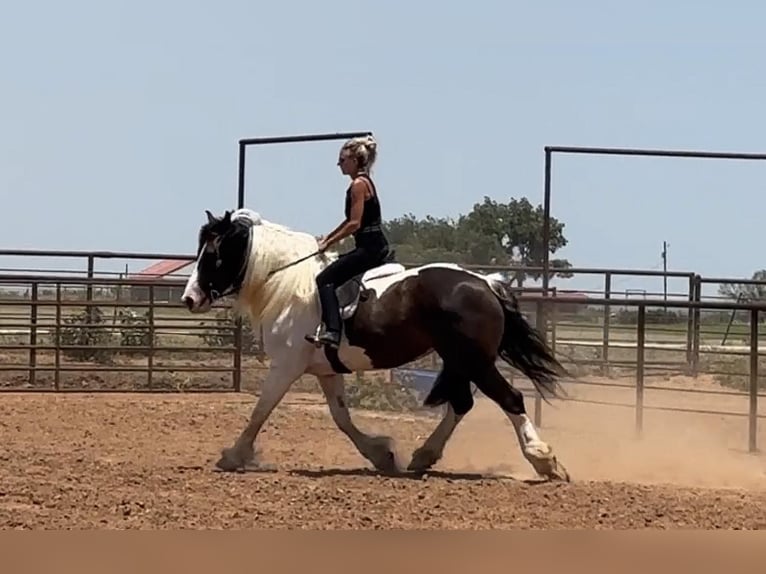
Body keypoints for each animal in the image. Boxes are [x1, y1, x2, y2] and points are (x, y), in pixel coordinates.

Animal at [182, 207, 568, 482]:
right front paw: (381, 455)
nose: (189, 298)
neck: (290, 284)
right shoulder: (325, 371)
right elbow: (341, 417)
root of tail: (485, 282)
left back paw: (543, 460)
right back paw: (423, 456)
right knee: (461, 405)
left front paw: (234, 456)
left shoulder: (286, 366)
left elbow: (260, 411)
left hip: (475, 361)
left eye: (213, 254)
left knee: (510, 399)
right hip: (459, 360)